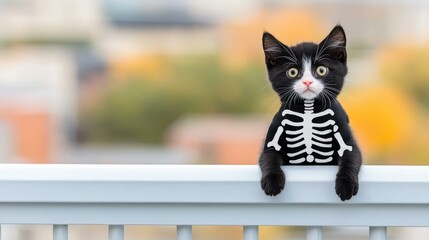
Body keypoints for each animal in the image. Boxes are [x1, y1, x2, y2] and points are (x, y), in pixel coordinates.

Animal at [258, 24, 362, 201]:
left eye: (321, 70)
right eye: (292, 72)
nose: (307, 82)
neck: (308, 108)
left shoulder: (347, 139)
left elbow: (351, 157)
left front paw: (346, 184)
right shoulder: (273, 139)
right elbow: (268, 158)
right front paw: (272, 181)